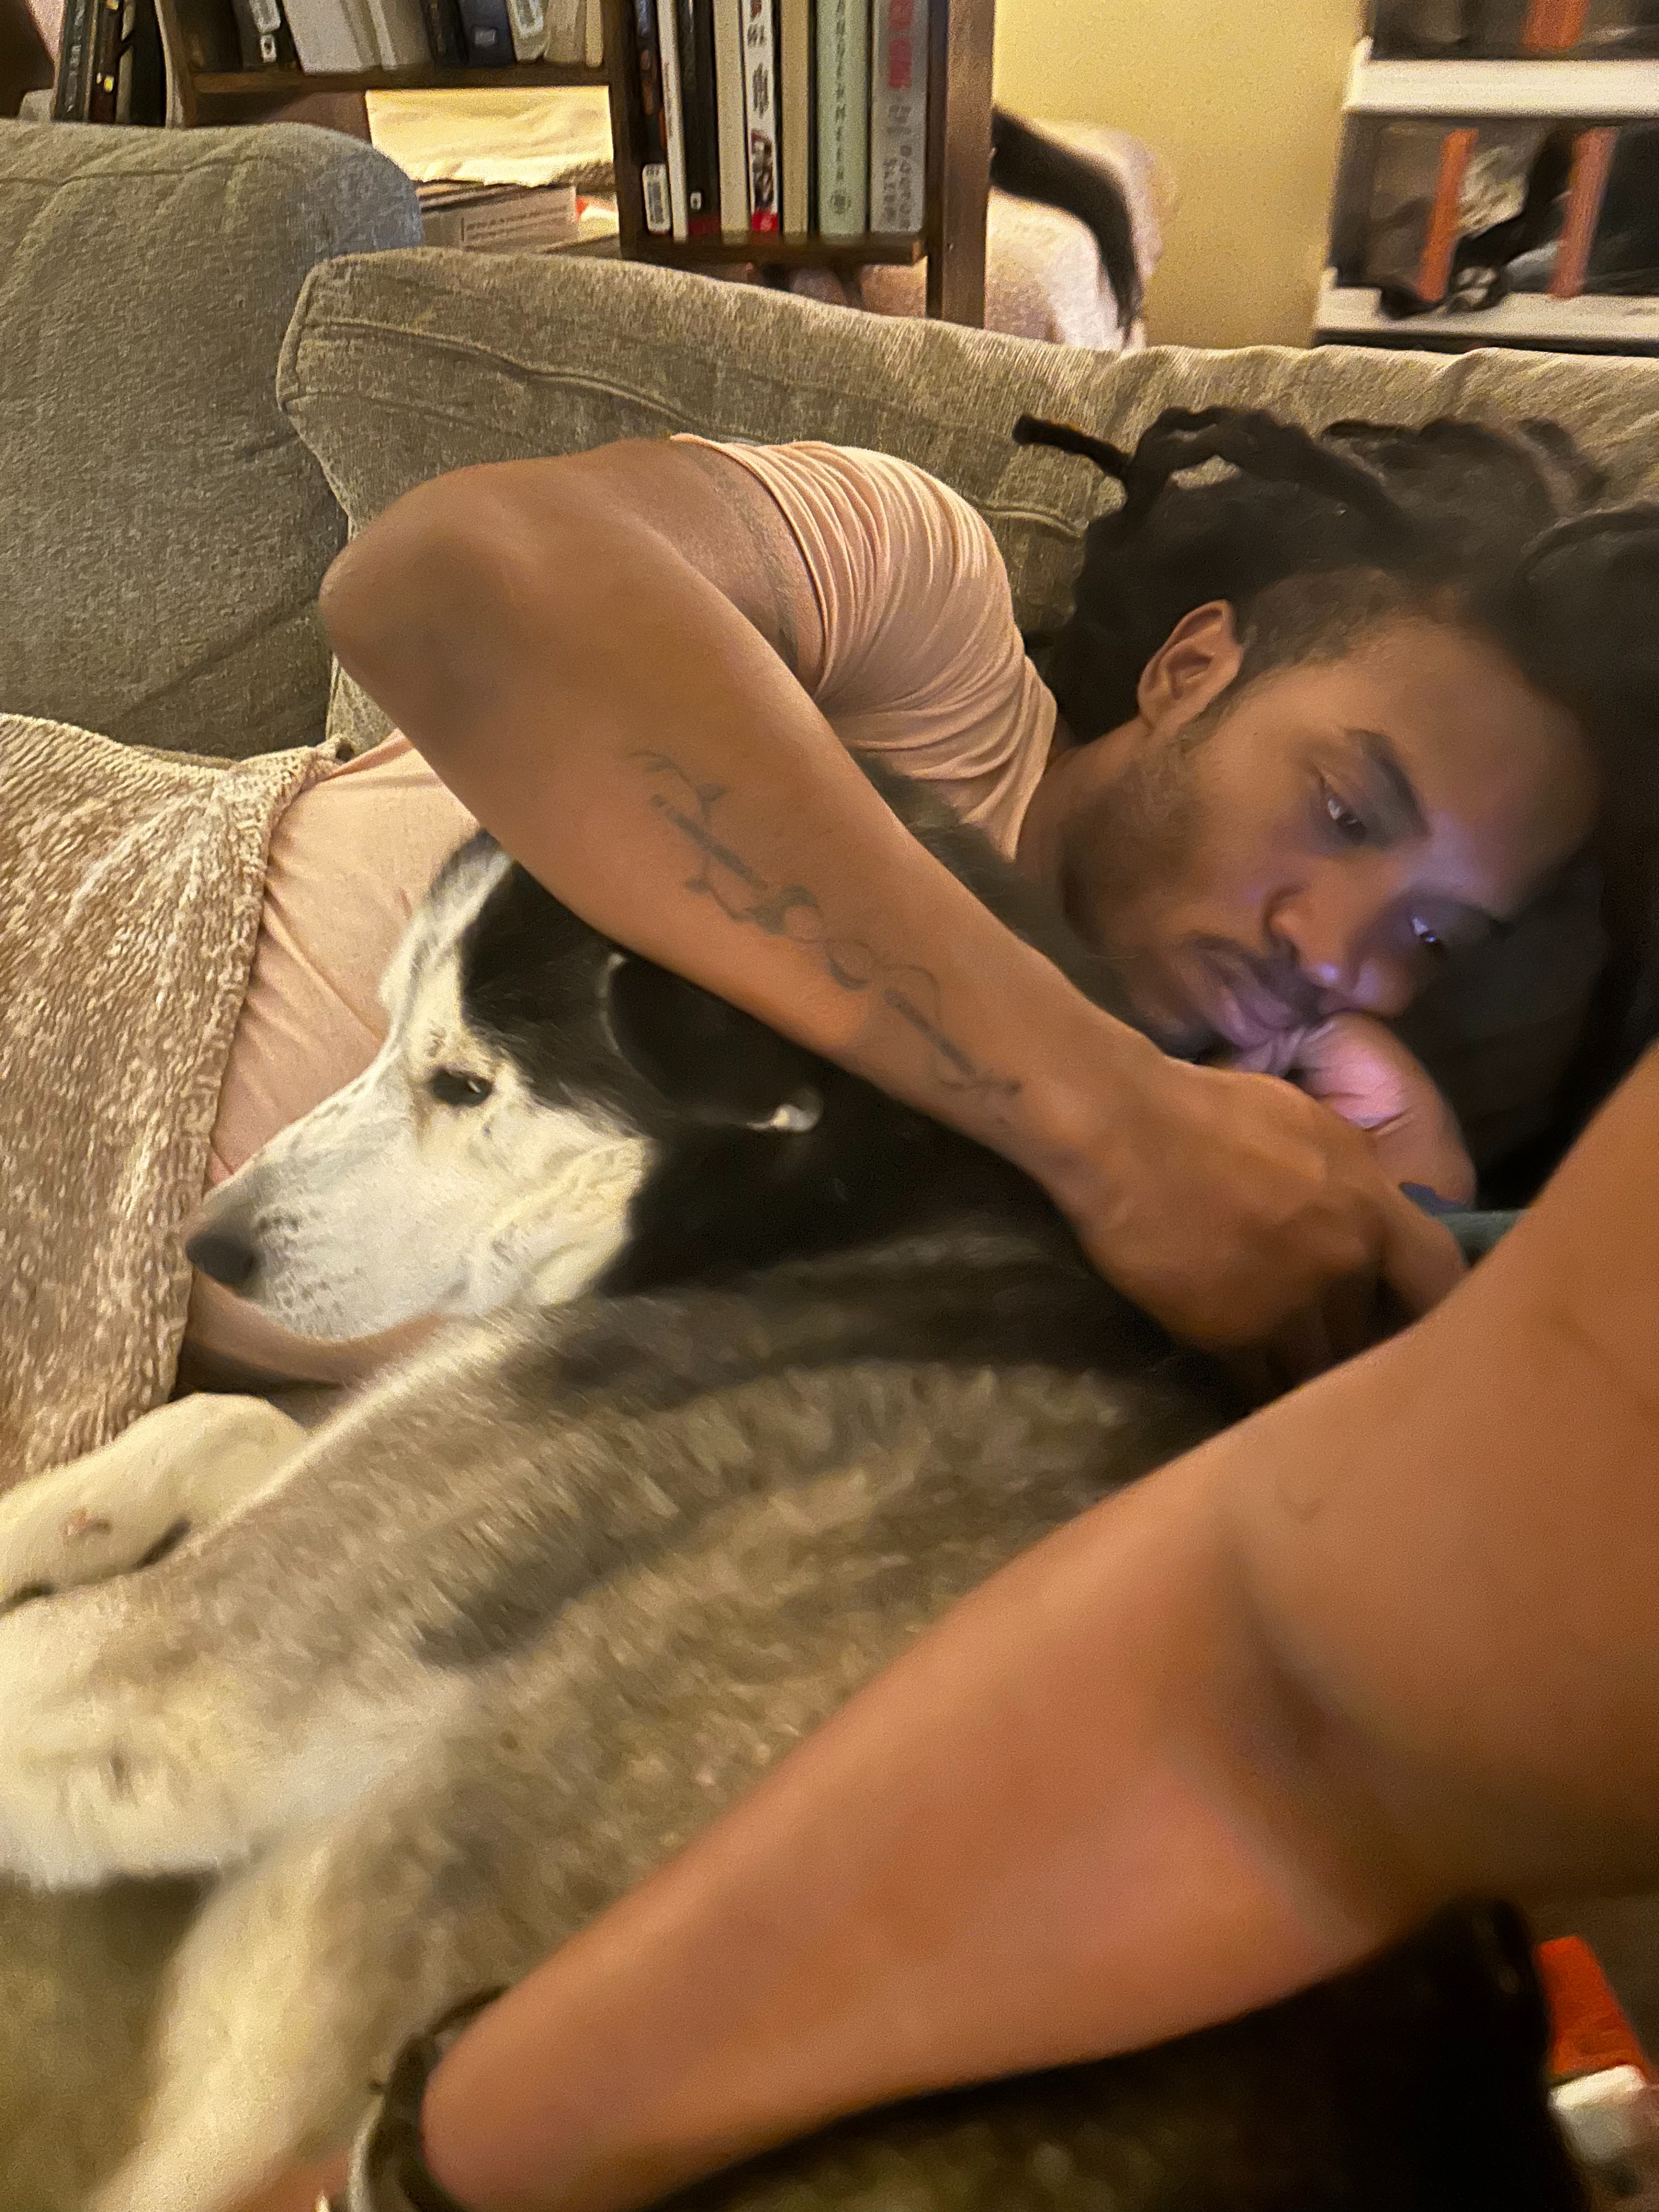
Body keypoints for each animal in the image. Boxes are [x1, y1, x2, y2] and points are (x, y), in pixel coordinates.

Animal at [0, 775, 1583, 2212]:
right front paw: (56, 1514)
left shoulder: (184, 1681)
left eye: (461, 1083)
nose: (207, 1246)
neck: (840, 1208)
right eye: (389, 1032)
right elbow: (218, 1416)